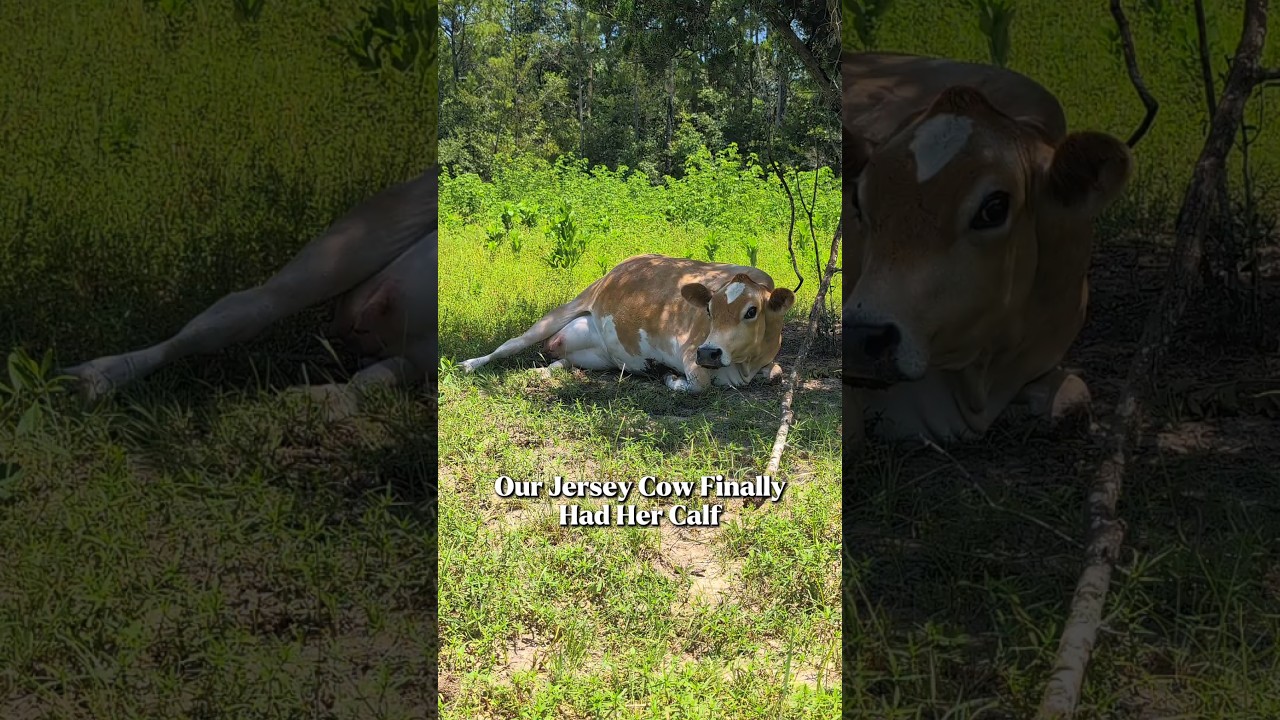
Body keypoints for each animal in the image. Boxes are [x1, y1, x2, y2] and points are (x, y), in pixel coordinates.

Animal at [63, 166, 439, 412]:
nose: (361, 327)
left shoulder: (416, 358)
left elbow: (373, 380)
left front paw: (314, 401)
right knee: (242, 310)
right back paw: (97, 377)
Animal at [459, 254, 795, 393]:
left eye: (751, 311)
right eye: (709, 310)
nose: (709, 352)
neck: (744, 366)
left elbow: (776, 373)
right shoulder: (688, 348)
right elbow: (699, 385)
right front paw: (670, 378)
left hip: (597, 357)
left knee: (561, 362)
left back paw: (541, 372)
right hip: (567, 308)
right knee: (510, 345)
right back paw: (469, 364)